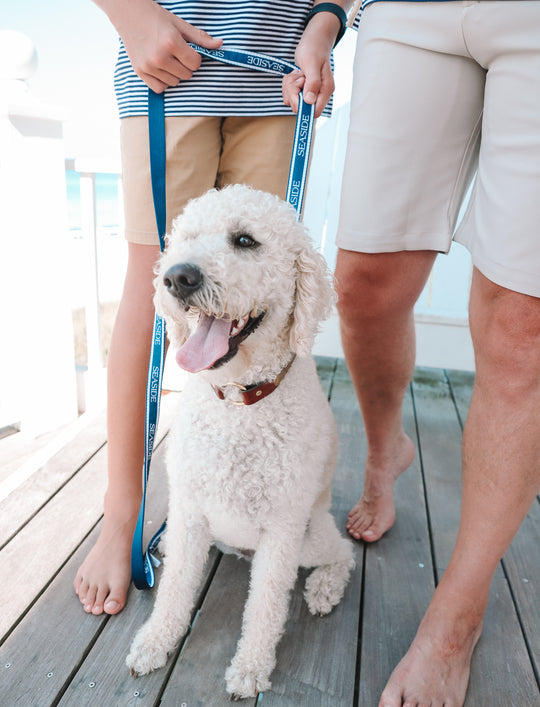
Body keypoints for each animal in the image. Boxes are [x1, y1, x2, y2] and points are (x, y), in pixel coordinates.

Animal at [126, 185, 354, 700]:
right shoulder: (190, 511)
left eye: (246, 240)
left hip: (311, 538)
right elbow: (174, 590)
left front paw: (250, 669)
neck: (237, 402)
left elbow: (266, 607)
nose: (177, 277)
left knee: (344, 554)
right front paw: (155, 641)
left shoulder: (282, 533)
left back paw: (324, 589)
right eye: (186, 238)